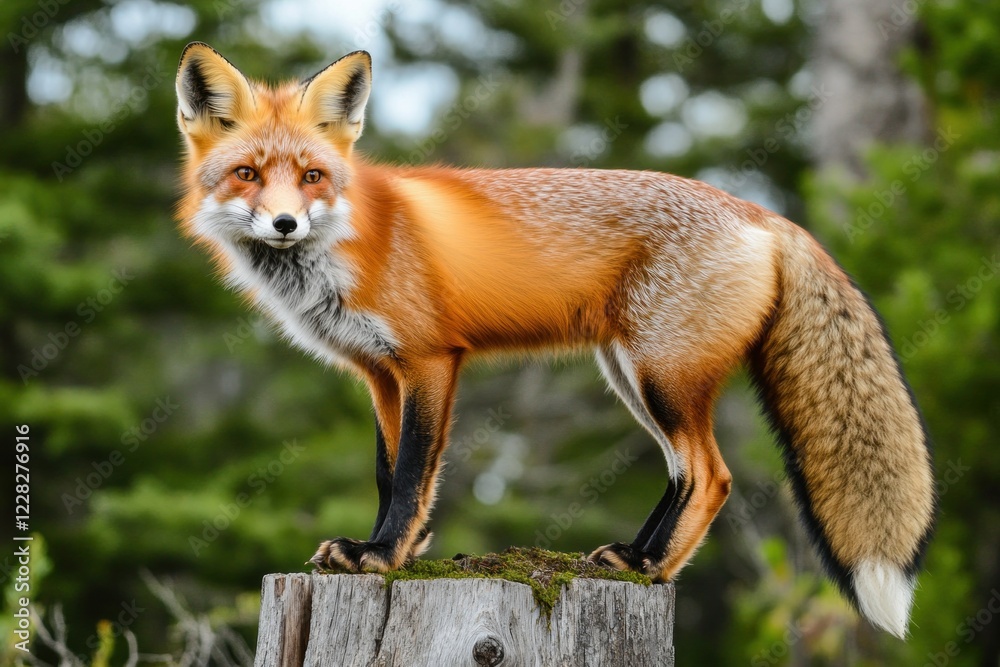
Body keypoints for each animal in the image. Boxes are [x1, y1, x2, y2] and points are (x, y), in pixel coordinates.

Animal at [174, 42, 935, 638]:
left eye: (311, 176)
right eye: (247, 174)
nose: (284, 224)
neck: (351, 239)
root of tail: (761, 212)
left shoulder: (429, 361)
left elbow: (414, 471)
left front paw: (383, 556)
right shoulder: (379, 373)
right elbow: (391, 473)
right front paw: (399, 549)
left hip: (660, 376)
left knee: (712, 474)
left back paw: (655, 567)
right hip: (630, 375)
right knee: (683, 471)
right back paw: (632, 557)